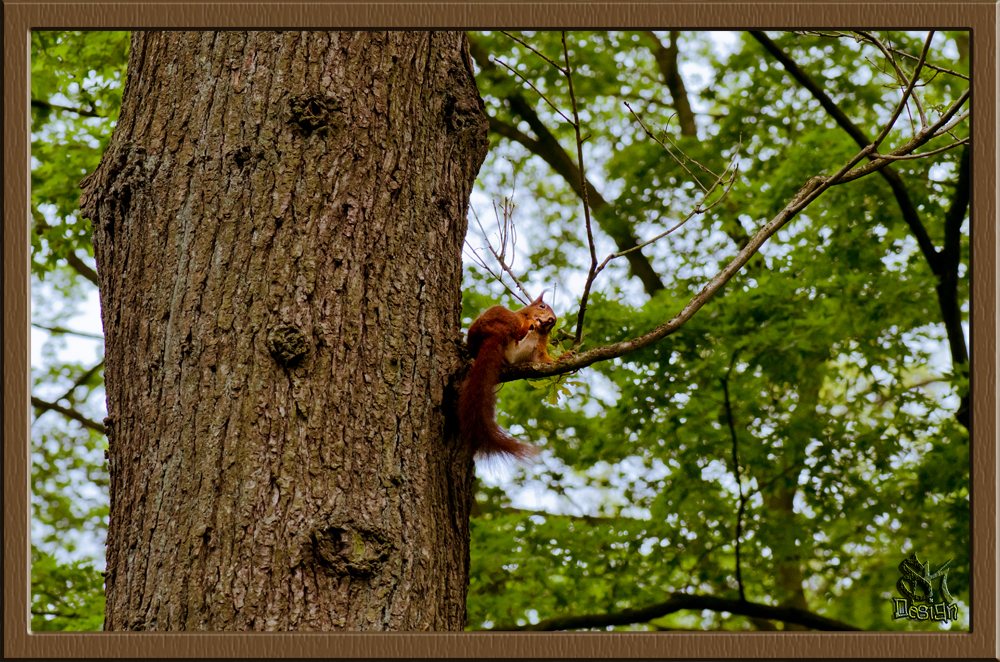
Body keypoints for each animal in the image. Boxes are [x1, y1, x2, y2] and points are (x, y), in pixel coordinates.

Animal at [458, 294, 560, 464]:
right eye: (542, 306)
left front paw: (565, 356)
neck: (536, 330)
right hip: (498, 316)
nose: (551, 319)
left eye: (553, 322)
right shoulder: (521, 317)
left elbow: (544, 360)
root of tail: (497, 333)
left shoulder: (538, 351)